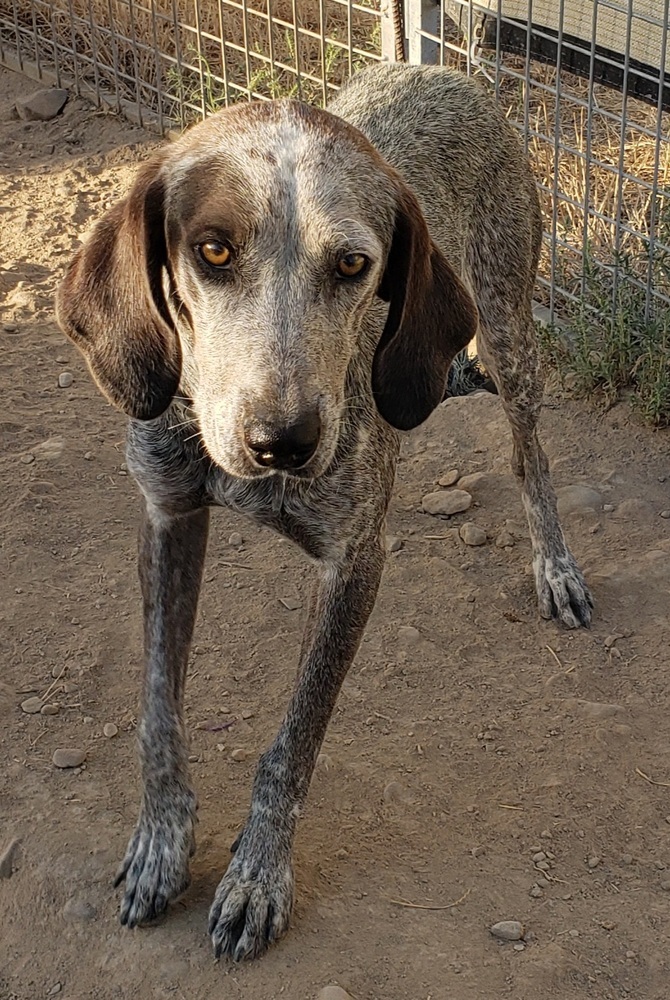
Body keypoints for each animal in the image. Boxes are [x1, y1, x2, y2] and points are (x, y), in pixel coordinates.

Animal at [56, 62, 592, 960]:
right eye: (212, 249)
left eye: (351, 265)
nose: (282, 441)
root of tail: (438, 69)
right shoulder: (167, 516)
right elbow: (158, 713)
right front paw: (162, 843)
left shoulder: (354, 563)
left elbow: (293, 742)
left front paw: (256, 878)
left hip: (510, 329)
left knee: (530, 454)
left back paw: (555, 567)